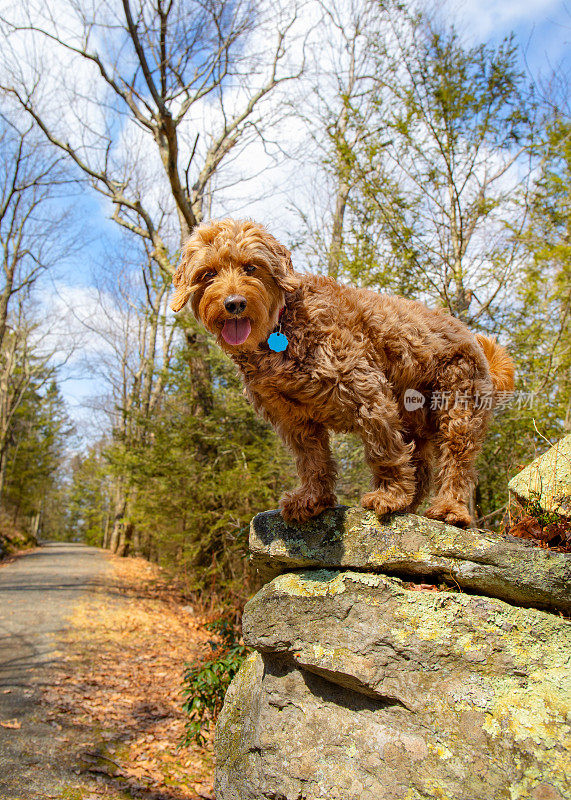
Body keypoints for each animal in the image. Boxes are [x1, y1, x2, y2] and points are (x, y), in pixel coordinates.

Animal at [172, 222, 516, 528]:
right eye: (208, 274)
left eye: (251, 268)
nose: (234, 303)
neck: (280, 327)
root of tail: (475, 341)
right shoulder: (293, 418)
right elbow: (312, 461)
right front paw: (313, 499)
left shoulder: (365, 390)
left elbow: (384, 450)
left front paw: (388, 495)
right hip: (414, 418)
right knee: (421, 466)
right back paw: (412, 504)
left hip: (457, 407)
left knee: (456, 462)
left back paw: (448, 508)